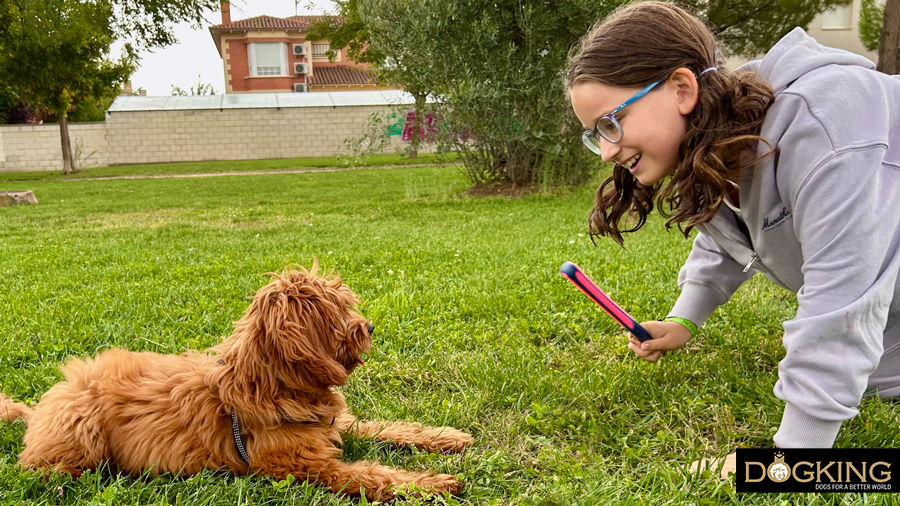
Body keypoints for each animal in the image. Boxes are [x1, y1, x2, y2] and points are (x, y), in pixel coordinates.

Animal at [0, 266, 474, 500]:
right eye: (338, 315)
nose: (370, 327)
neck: (272, 385)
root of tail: (42, 407)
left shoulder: (331, 426)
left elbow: (386, 426)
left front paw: (448, 438)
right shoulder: (300, 465)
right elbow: (370, 474)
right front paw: (433, 484)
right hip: (80, 428)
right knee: (43, 467)